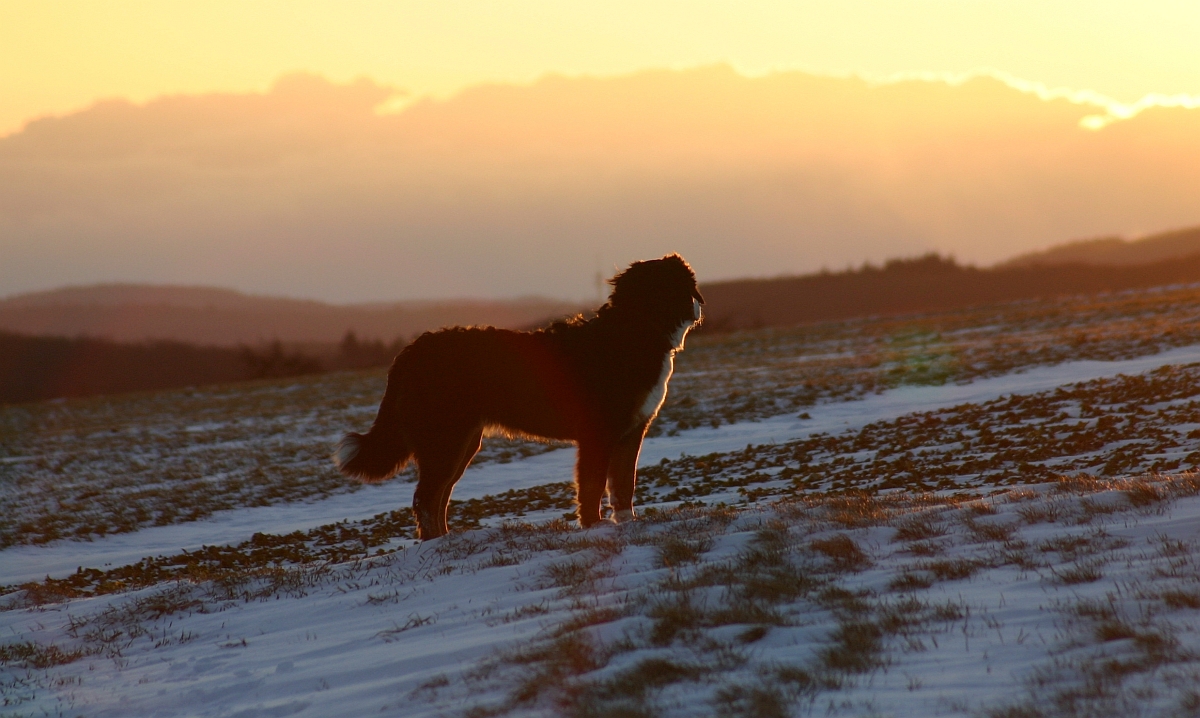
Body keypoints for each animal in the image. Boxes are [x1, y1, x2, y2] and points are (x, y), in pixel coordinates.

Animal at [333, 253, 700, 540]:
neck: (634, 332)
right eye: (674, 285)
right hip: (446, 441)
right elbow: (593, 487)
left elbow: (624, 485)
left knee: (437, 498)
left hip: (462, 442)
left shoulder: (630, 433)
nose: (699, 304)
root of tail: (409, 352)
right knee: (426, 499)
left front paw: (625, 524)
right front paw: (595, 528)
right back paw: (439, 544)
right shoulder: (598, 434)